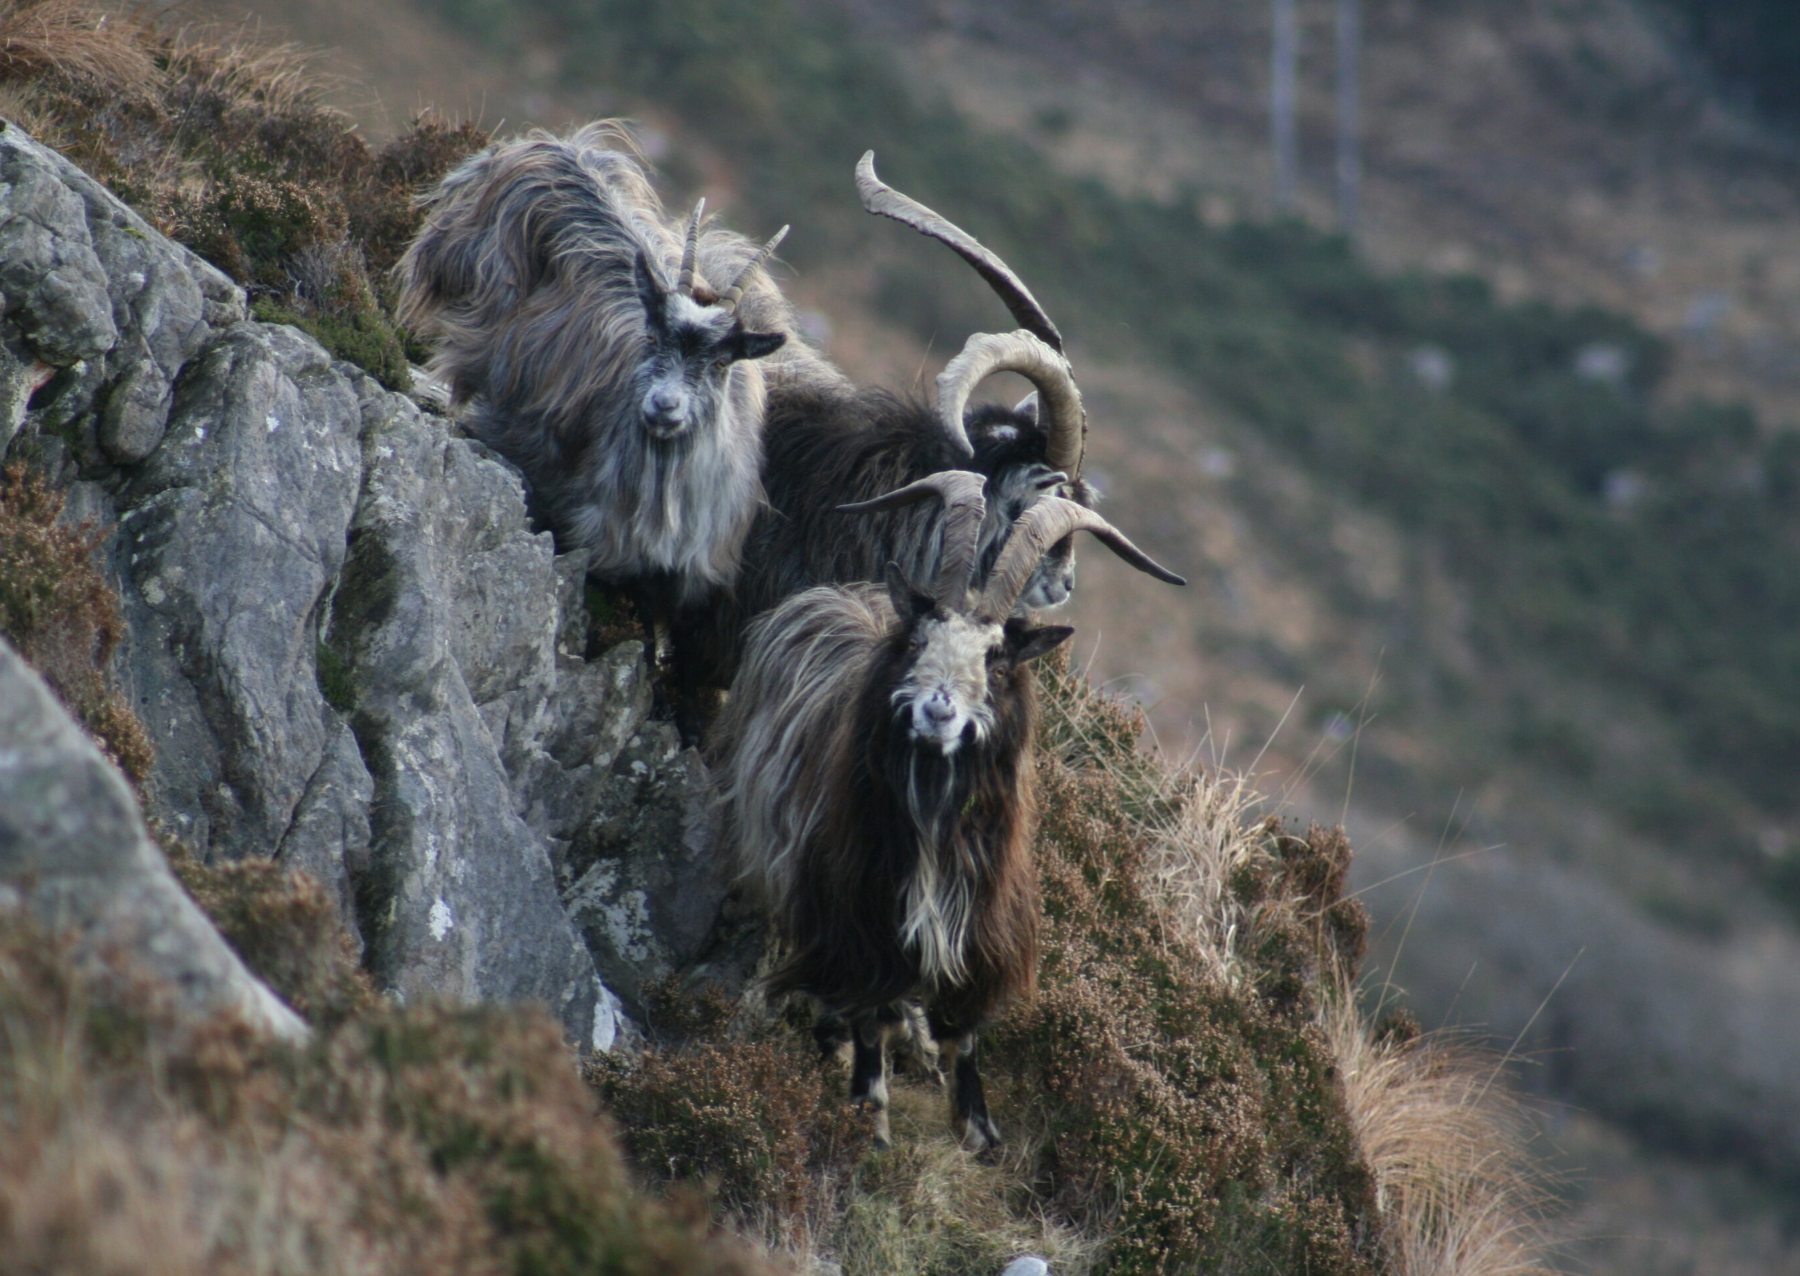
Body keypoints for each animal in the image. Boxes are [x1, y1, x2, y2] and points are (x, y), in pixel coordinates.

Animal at [712, 472, 1185, 1150]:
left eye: (997, 659)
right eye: (919, 642)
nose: (936, 710)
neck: (933, 819)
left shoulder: (981, 920)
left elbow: (964, 1030)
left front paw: (979, 1132)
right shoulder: (864, 923)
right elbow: (873, 1018)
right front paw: (872, 1119)